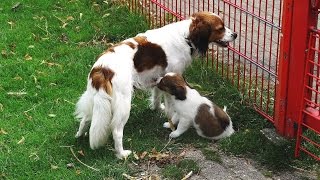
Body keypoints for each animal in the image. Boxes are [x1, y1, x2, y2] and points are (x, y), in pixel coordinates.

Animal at [74, 11, 236, 159]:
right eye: (220, 28)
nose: (235, 34)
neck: (186, 38)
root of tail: (102, 69)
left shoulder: (159, 78)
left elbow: (157, 96)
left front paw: (157, 109)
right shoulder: (173, 76)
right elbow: (171, 105)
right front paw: (171, 120)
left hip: (97, 101)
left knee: (85, 119)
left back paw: (79, 135)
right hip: (123, 103)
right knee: (117, 131)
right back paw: (122, 154)